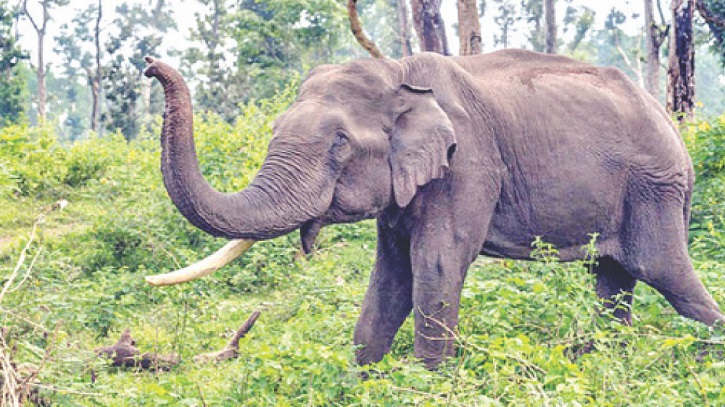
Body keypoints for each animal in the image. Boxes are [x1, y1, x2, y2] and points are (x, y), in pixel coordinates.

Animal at [143, 49, 724, 368]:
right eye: (273, 131)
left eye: (339, 144)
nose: (149, 65)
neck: (396, 73)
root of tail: (672, 123)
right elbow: (391, 275)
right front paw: (363, 379)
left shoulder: (467, 164)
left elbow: (437, 265)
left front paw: (426, 383)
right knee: (614, 277)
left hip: (654, 188)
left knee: (662, 271)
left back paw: (702, 357)